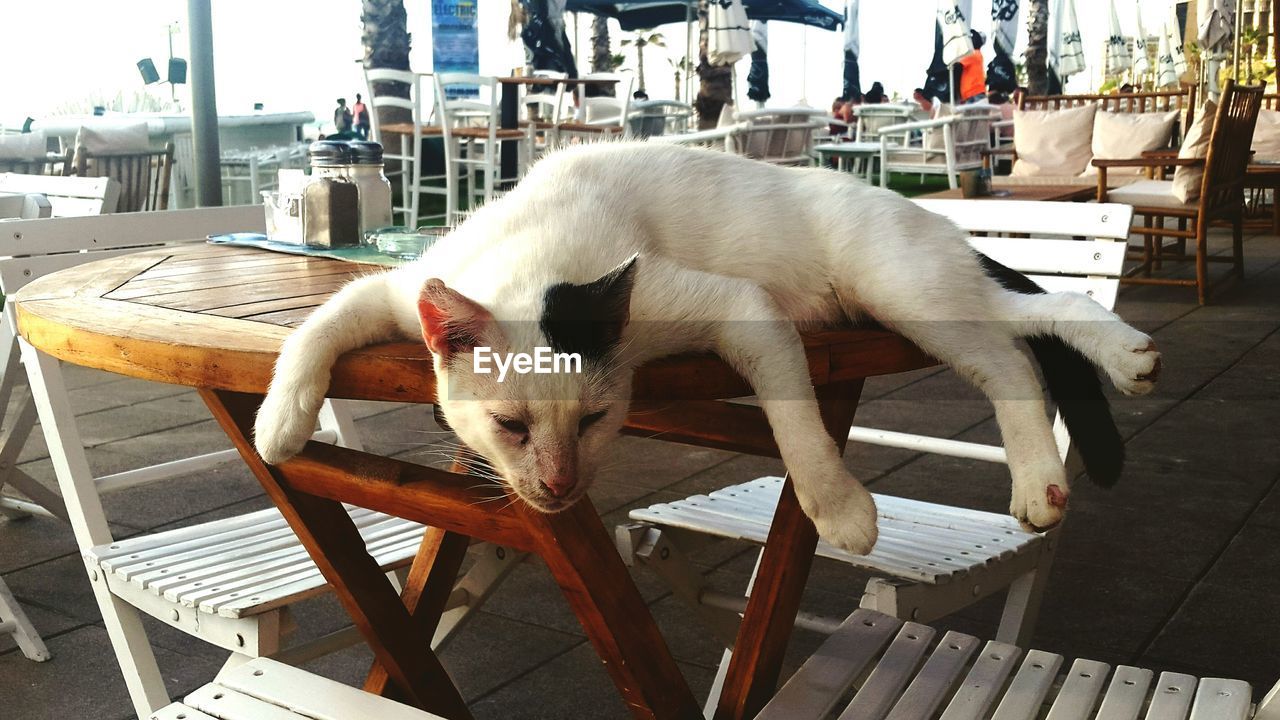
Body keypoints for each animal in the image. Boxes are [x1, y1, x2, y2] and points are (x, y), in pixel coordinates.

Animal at [249, 141, 1162, 556]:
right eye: (511, 426)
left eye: (595, 422)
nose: (560, 486)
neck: (537, 257)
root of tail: (924, 213)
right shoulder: (396, 289)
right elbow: (315, 326)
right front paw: (280, 424)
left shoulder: (736, 307)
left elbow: (798, 424)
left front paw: (839, 508)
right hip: (919, 301)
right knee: (1042, 316)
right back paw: (1110, 382)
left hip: (902, 293)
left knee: (1018, 348)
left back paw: (1055, 460)